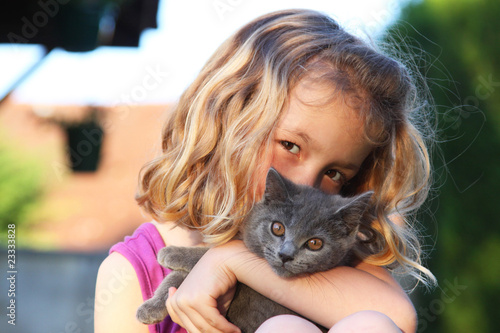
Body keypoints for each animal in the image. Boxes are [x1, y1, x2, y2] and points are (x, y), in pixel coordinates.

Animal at [137, 167, 372, 330]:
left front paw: (172, 253)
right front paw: (151, 308)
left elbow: (209, 255)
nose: (285, 254)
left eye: (315, 243)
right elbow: (178, 277)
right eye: (277, 228)